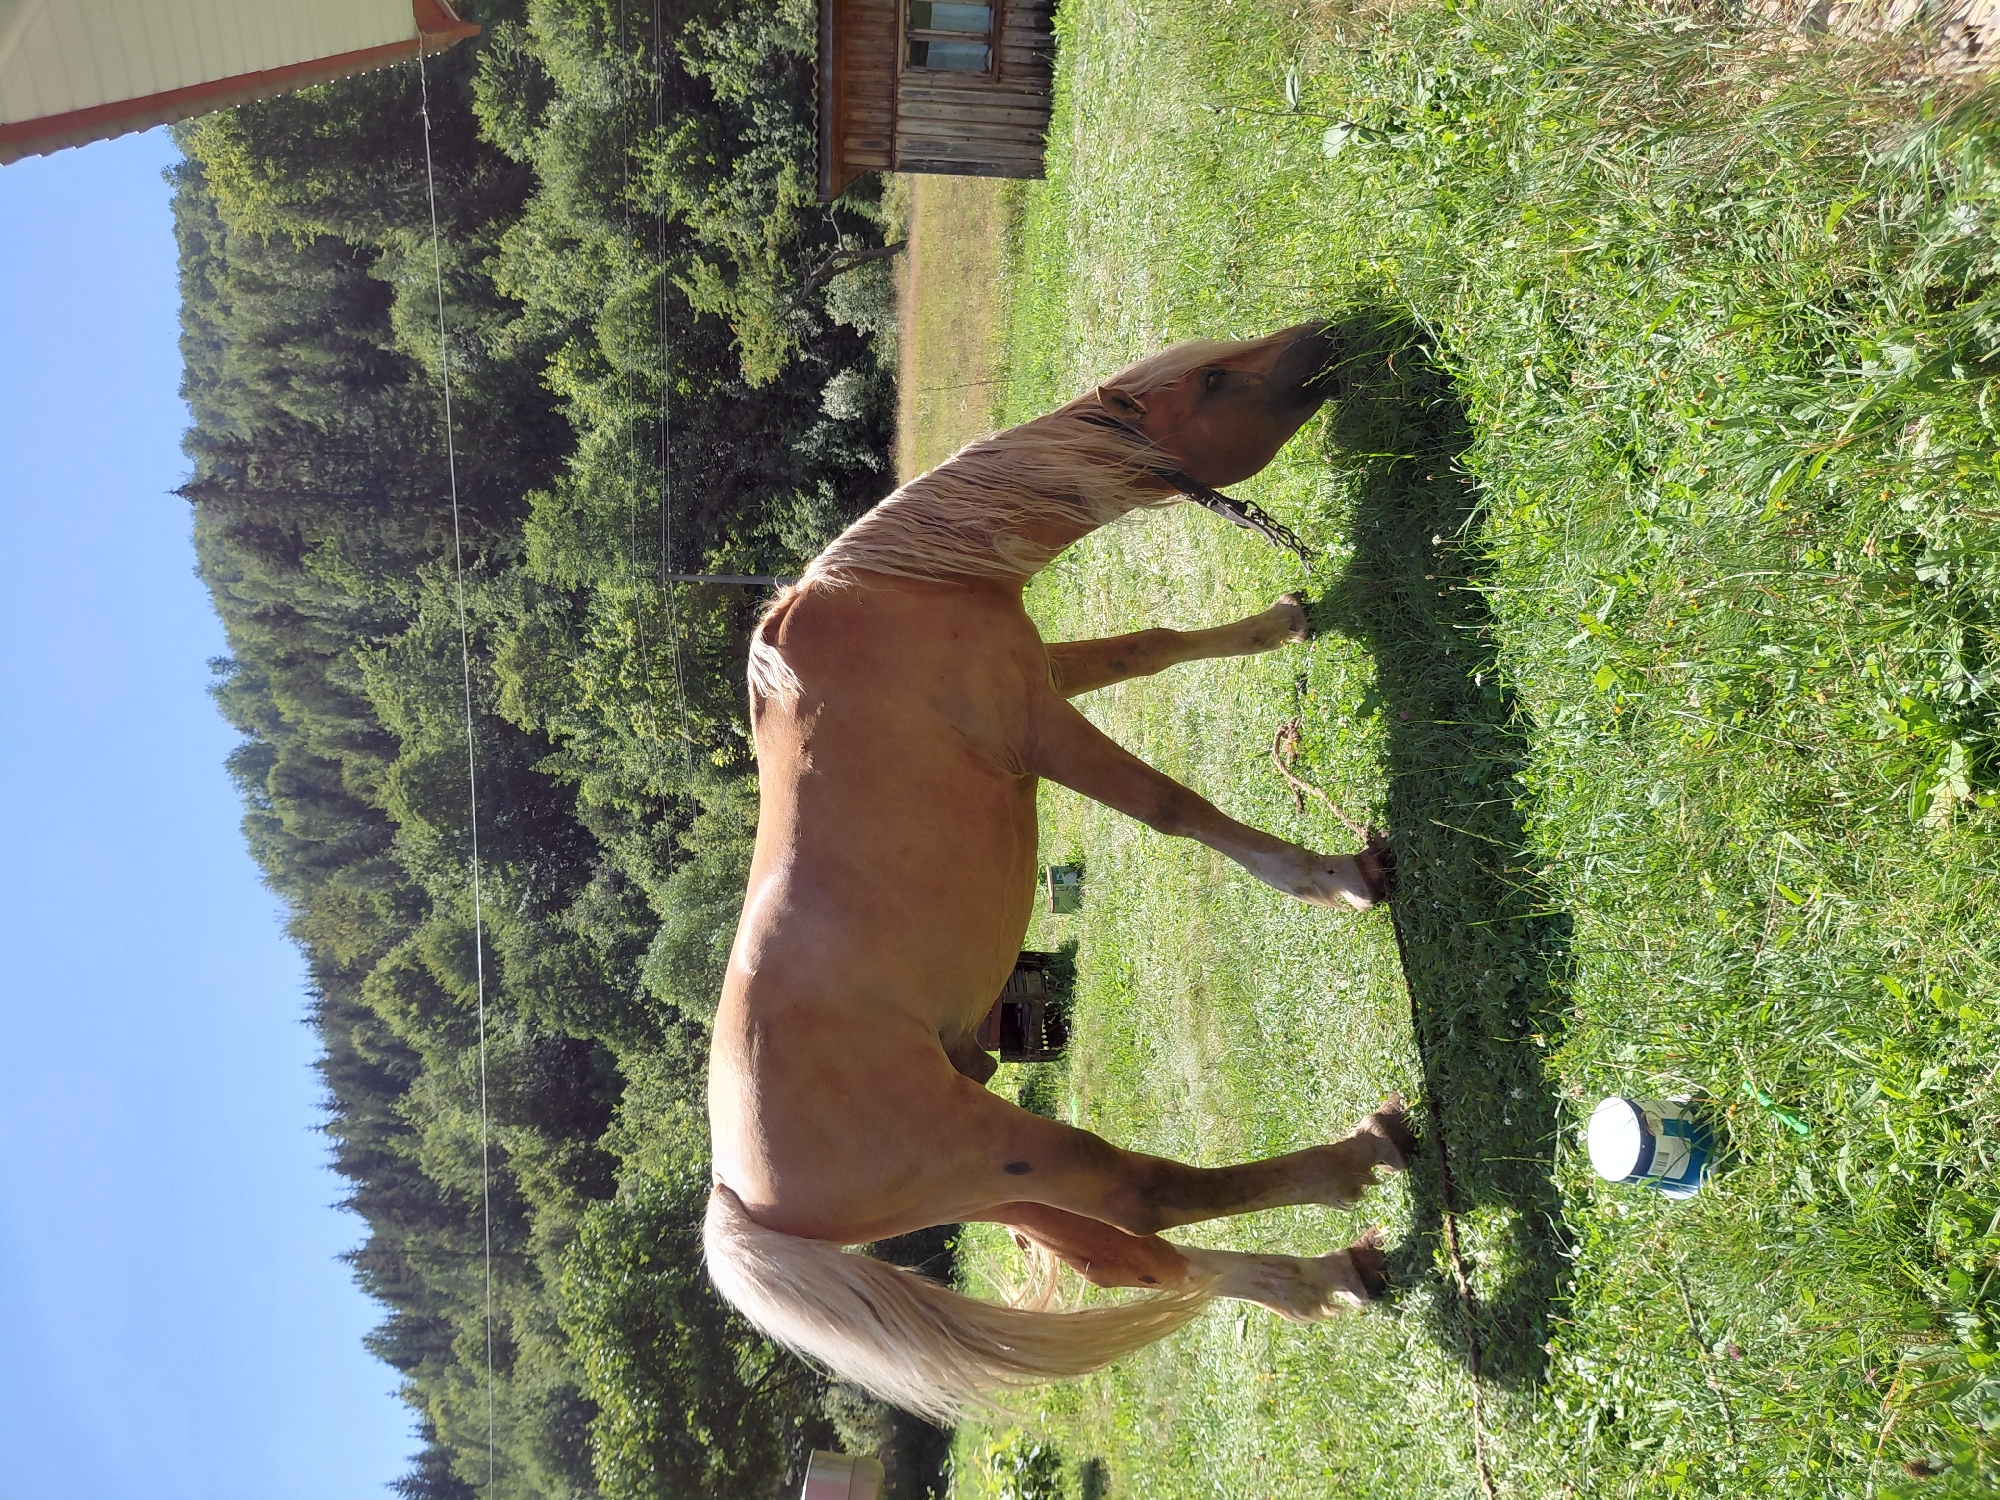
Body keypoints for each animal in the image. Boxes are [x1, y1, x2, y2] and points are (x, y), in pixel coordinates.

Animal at [704, 323, 1415, 1422]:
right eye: (1213, 379)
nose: (1330, 335)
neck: (901, 590)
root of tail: (733, 1195)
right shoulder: (1037, 727)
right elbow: (1173, 810)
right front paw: (1333, 877)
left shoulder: (1048, 670)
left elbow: (1149, 648)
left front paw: (1284, 620)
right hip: (1017, 1153)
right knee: (1151, 1198)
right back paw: (1357, 1160)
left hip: (1008, 1192)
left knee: (1135, 1262)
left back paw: (1324, 1277)